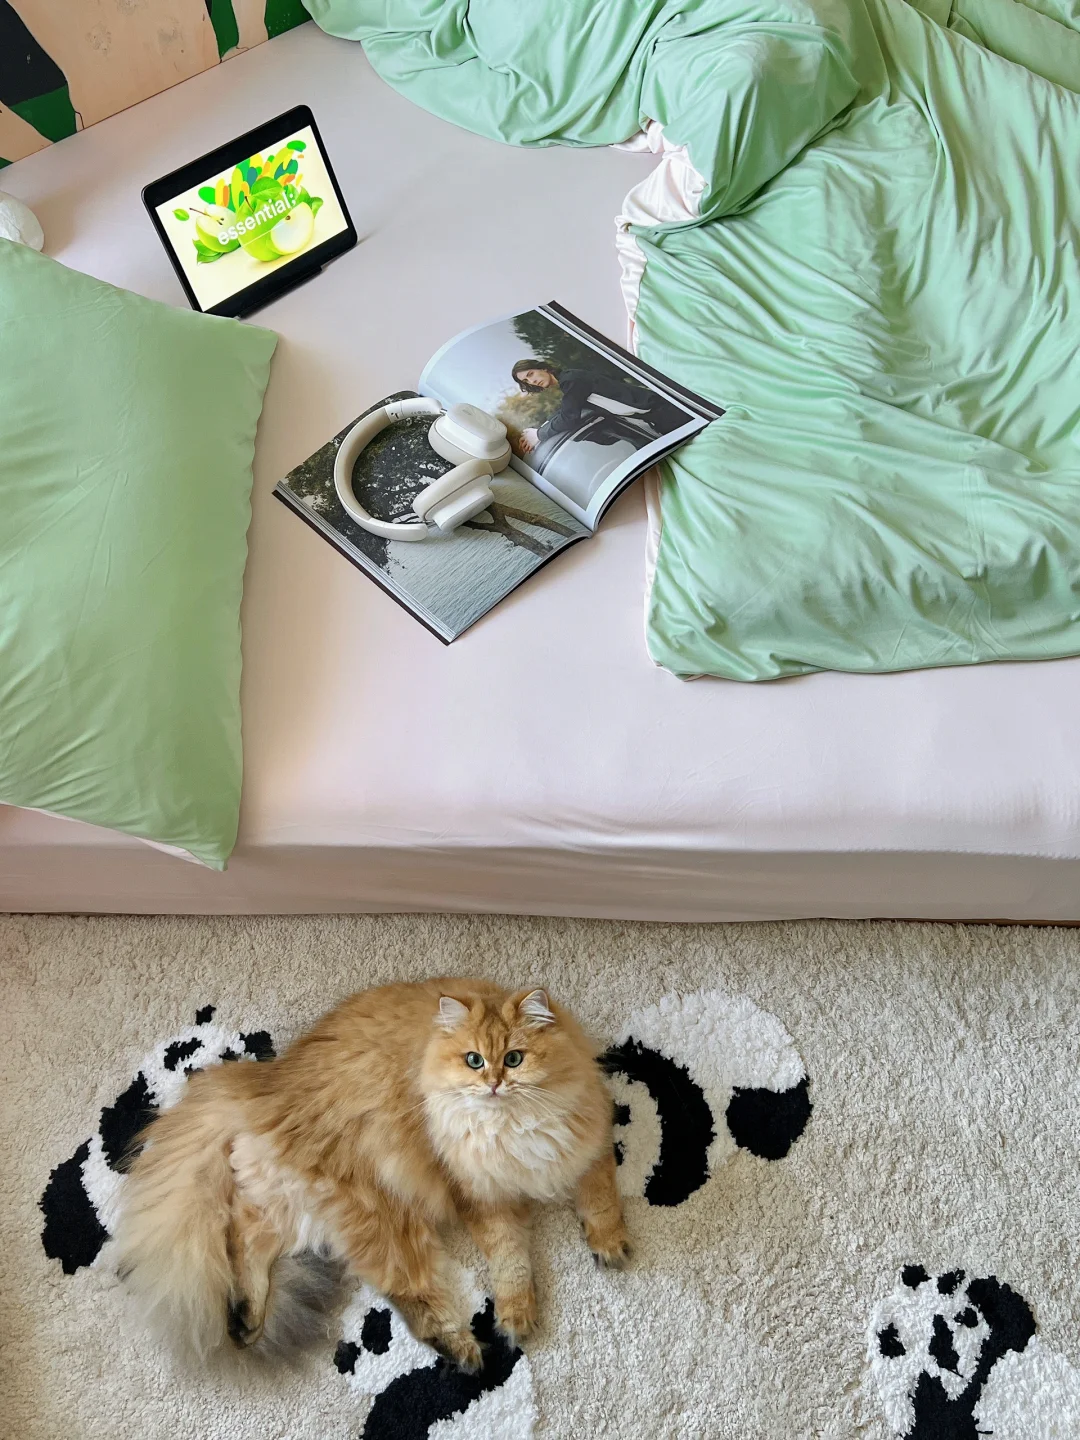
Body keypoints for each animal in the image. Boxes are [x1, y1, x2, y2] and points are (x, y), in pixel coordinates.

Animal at [112, 979, 629, 1370]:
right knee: (411, 1296)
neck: (513, 1128)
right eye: (474, 1060)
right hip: (384, 1217)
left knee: (244, 1238)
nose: (495, 1085)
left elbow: (602, 1199)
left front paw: (610, 1245)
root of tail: (268, 1082)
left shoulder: (588, 1145)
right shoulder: (481, 1198)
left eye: (515, 1058)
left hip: (300, 1210)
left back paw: (245, 1321)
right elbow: (512, 1261)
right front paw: (518, 1315)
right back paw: (462, 1350)